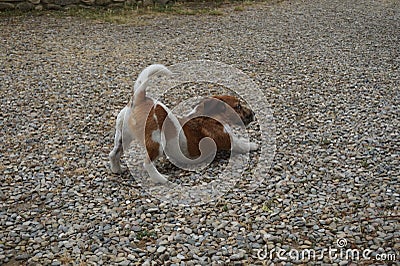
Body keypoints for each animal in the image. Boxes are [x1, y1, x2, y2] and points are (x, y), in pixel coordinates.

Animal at [109, 64, 260, 184]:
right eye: (238, 106)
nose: (253, 113)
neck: (209, 116)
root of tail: (139, 99)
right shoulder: (226, 137)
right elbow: (240, 143)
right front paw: (253, 145)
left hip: (122, 138)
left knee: (113, 154)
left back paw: (117, 170)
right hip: (157, 142)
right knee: (147, 162)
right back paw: (161, 179)